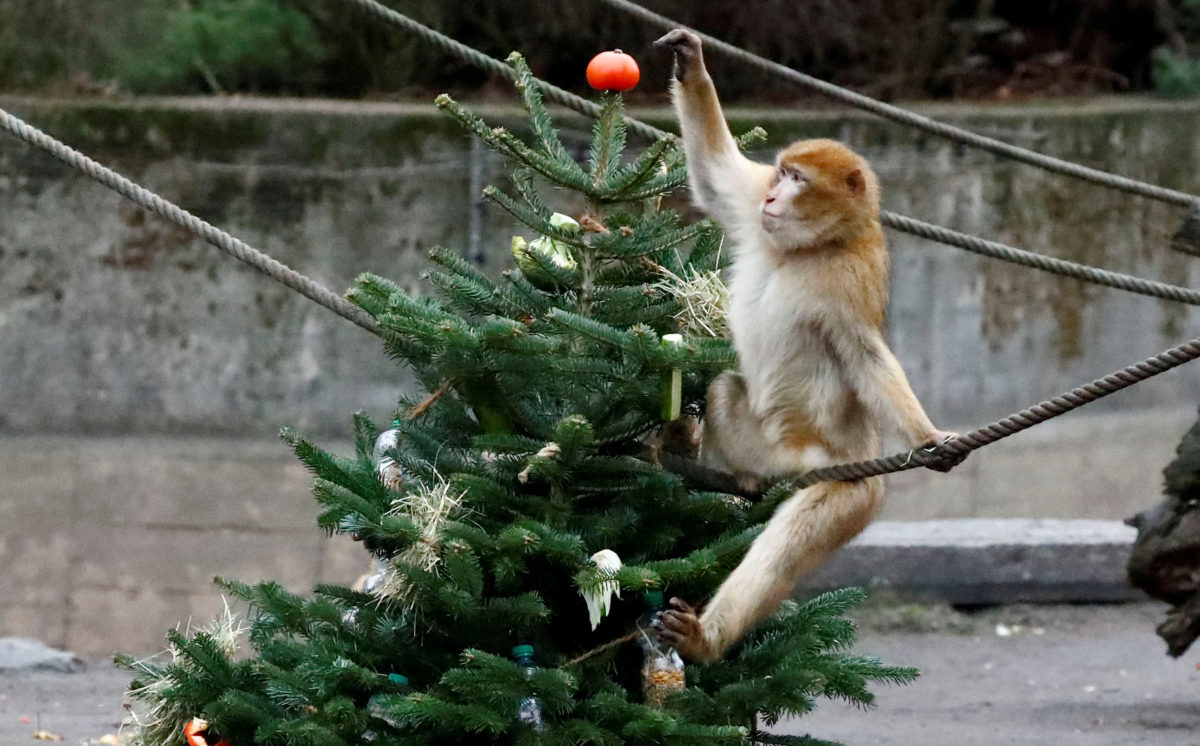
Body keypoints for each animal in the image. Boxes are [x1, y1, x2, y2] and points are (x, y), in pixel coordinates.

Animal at [652, 26, 960, 662]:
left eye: (798, 180)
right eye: (781, 174)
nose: (774, 197)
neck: (809, 249)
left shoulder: (850, 278)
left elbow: (865, 356)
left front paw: (928, 438)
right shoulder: (755, 216)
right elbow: (715, 175)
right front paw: (691, 63)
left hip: (846, 479)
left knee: (794, 537)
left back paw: (707, 637)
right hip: (762, 445)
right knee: (725, 389)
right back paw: (721, 469)